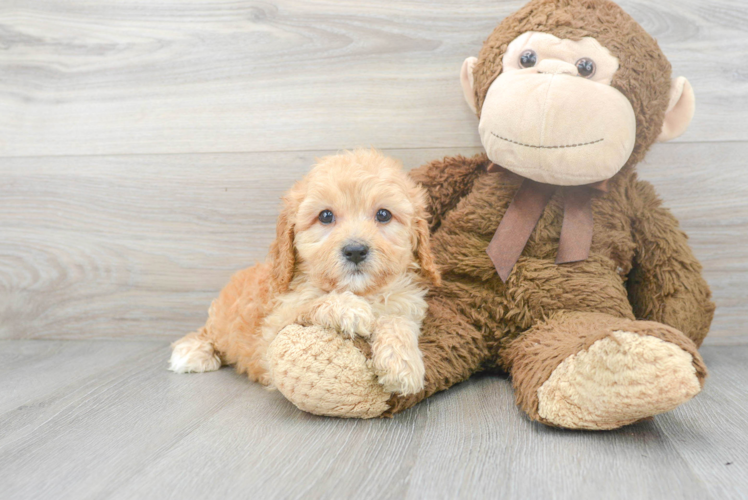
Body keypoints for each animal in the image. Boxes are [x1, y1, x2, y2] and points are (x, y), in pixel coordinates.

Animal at [168, 148, 438, 394]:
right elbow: (309, 304)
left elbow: (399, 320)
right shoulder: (272, 334)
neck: (362, 291)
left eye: (383, 214)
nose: (355, 250)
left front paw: (402, 365)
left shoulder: (407, 304)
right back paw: (192, 352)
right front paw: (349, 308)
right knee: (208, 333)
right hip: (220, 320)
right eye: (325, 216)